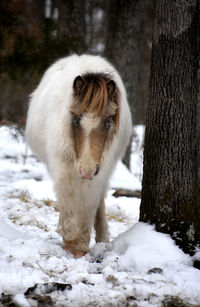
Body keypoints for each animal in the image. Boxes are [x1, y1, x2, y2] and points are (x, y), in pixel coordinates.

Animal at [25, 53, 132, 258]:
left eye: (108, 121)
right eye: (75, 119)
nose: (87, 169)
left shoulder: (98, 172)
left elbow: (88, 205)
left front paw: (80, 246)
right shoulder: (63, 166)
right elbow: (67, 199)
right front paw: (68, 238)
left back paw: (102, 237)